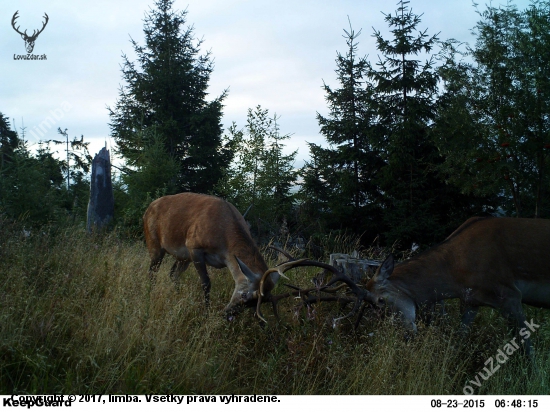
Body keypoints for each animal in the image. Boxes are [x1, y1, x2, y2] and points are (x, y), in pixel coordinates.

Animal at [366, 217, 550, 356]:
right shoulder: (470, 301)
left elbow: (528, 351)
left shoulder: (510, 294)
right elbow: (460, 340)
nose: (406, 336)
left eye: (381, 300)